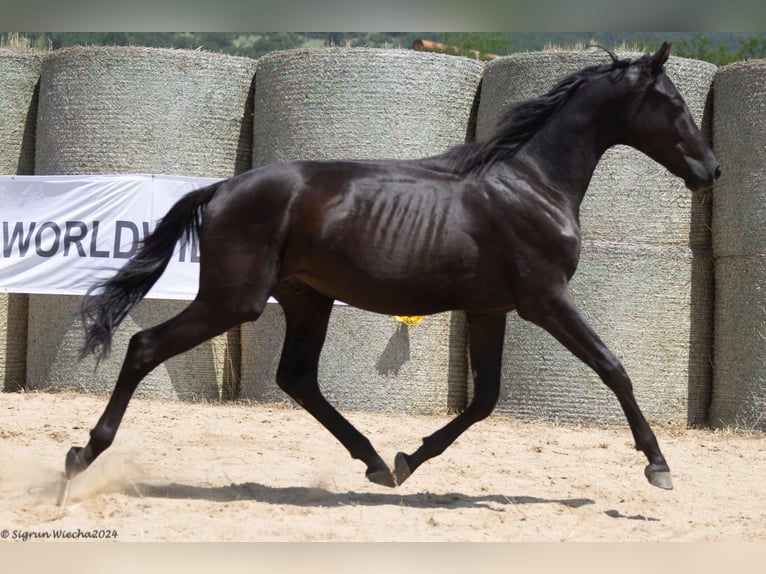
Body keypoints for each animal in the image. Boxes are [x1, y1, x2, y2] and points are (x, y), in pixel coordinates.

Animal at [66, 44, 720, 496]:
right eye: (675, 105)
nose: (710, 169)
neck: (532, 185)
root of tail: (222, 188)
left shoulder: (489, 309)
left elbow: (485, 399)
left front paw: (409, 461)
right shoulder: (546, 299)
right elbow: (614, 369)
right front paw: (658, 465)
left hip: (306, 299)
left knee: (297, 378)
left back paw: (377, 461)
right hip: (235, 300)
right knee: (145, 347)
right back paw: (81, 456)